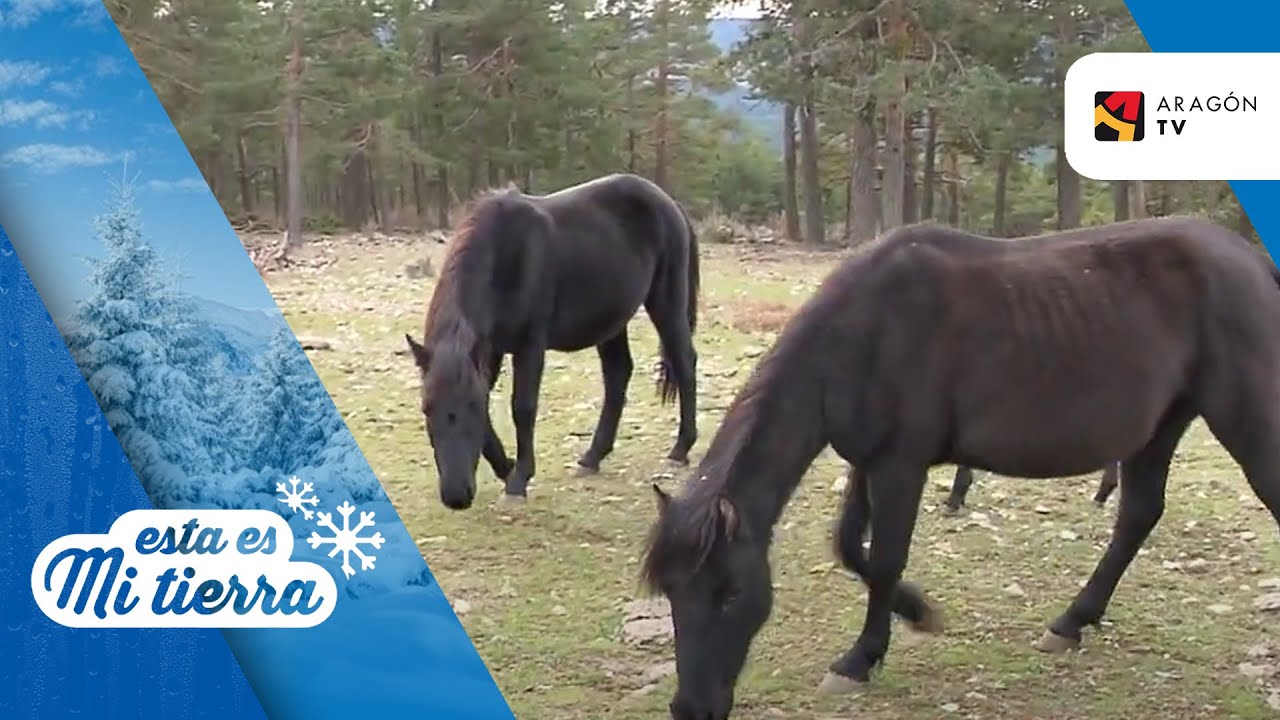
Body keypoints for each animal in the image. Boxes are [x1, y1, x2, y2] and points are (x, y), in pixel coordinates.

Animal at [405, 173, 700, 510]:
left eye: (470, 405)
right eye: (427, 408)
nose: (456, 496)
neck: (505, 256)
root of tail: (669, 203)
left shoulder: (529, 345)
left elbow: (522, 407)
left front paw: (518, 479)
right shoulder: (489, 351)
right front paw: (506, 467)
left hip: (666, 303)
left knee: (684, 362)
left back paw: (681, 448)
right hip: (611, 321)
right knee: (618, 374)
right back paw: (592, 457)